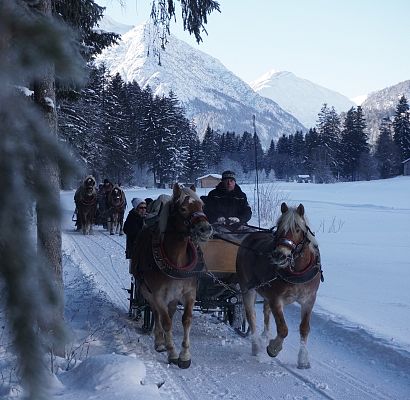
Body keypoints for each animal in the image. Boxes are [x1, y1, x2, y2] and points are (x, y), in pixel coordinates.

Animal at [131, 184, 213, 368]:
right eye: (183, 208)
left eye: (202, 205)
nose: (206, 229)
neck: (177, 259)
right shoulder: (158, 295)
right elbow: (166, 321)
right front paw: (173, 353)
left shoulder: (189, 293)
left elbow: (186, 320)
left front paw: (185, 355)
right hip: (147, 292)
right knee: (156, 313)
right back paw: (160, 342)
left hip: (174, 297)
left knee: (170, 312)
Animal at [239, 203, 322, 368]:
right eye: (279, 226)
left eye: (297, 229)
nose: (279, 255)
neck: (296, 272)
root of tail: (250, 236)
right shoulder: (276, 299)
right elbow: (283, 329)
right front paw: (274, 348)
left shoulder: (309, 300)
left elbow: (304, 328)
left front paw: (303, 359)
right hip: (247, 289)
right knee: (251, 316)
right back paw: (256, 346)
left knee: (265, 312)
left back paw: (265, 335)